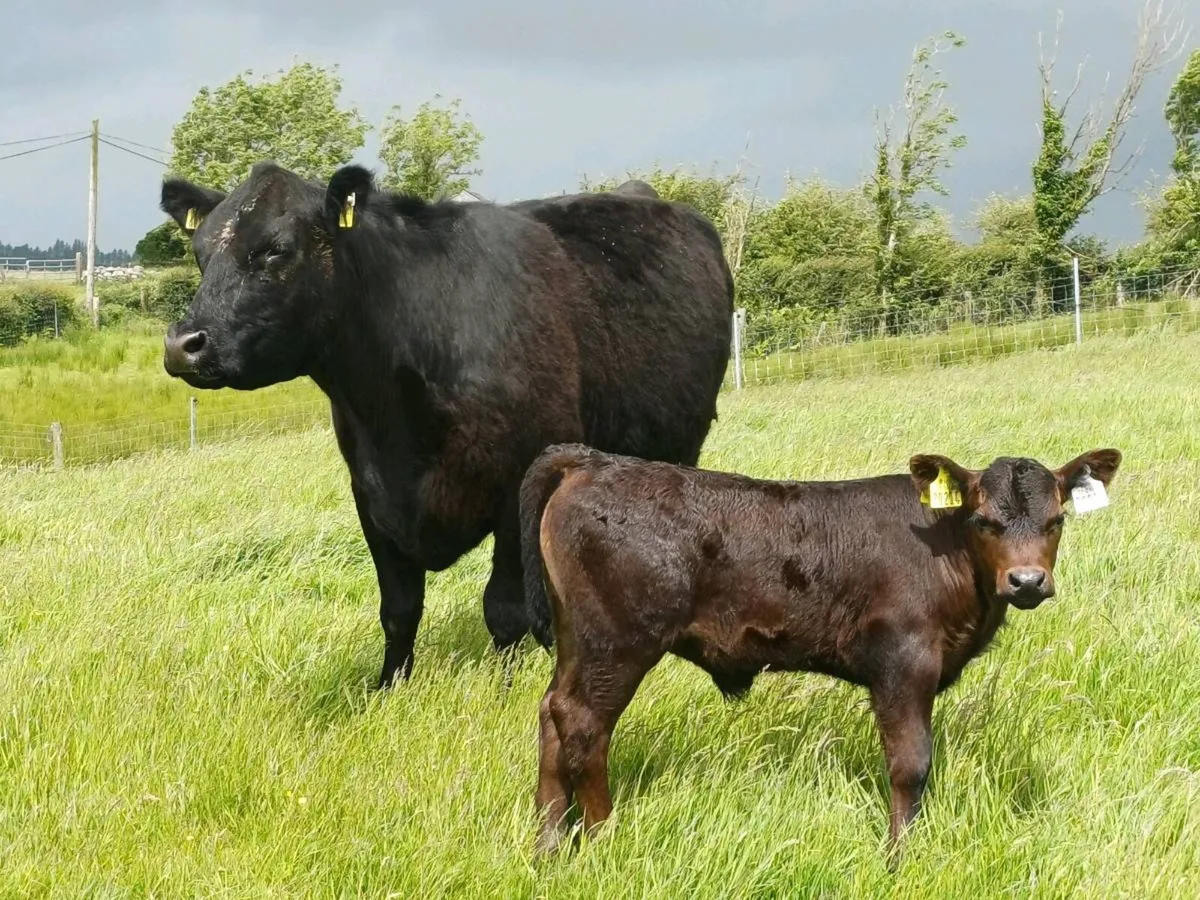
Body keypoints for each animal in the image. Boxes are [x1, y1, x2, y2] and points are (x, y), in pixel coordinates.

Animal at [157, 161, 734, 690]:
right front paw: (388, 689)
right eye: (199, 254)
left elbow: (503, 608)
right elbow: (399, 609)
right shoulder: (369, 494)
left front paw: (504, 689)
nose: (183, 344)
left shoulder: (518, 485)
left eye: (275, 249)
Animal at [518, 443, 1122, 859]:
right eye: (983, 521)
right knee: (584, 725)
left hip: (579, 643)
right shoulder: (903, 663)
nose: (1027, 581)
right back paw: (603, 838)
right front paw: (899, 856)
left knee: (552, 714)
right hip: (617, 645)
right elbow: (910, 764)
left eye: (1057, 520)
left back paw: (548, 845)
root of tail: (592, 461)